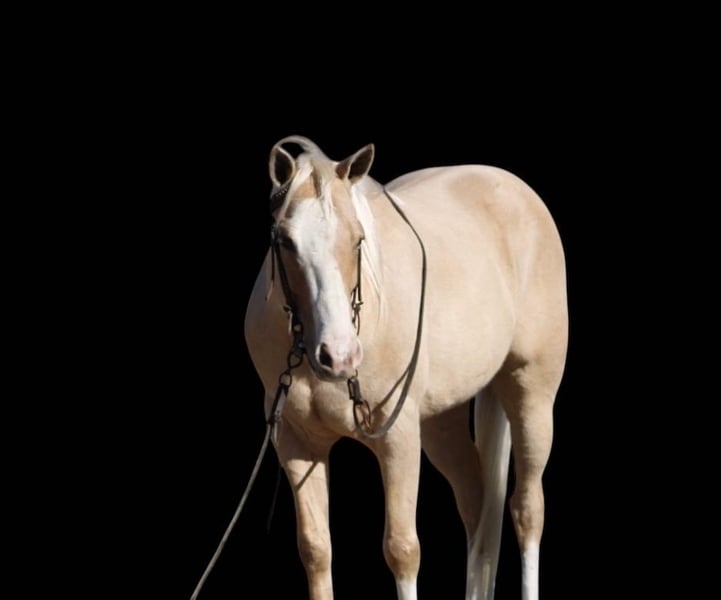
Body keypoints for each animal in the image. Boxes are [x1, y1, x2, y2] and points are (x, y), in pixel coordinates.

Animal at [244, 135, 568, 600]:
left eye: (358, 239)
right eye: (285, 241)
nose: (339, 356)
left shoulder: (397, 439)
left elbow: (402, 550)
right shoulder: (296, 443)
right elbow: (316, 550)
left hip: (532, 393)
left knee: (527, 510)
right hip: (440, 422)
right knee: (478, 506)